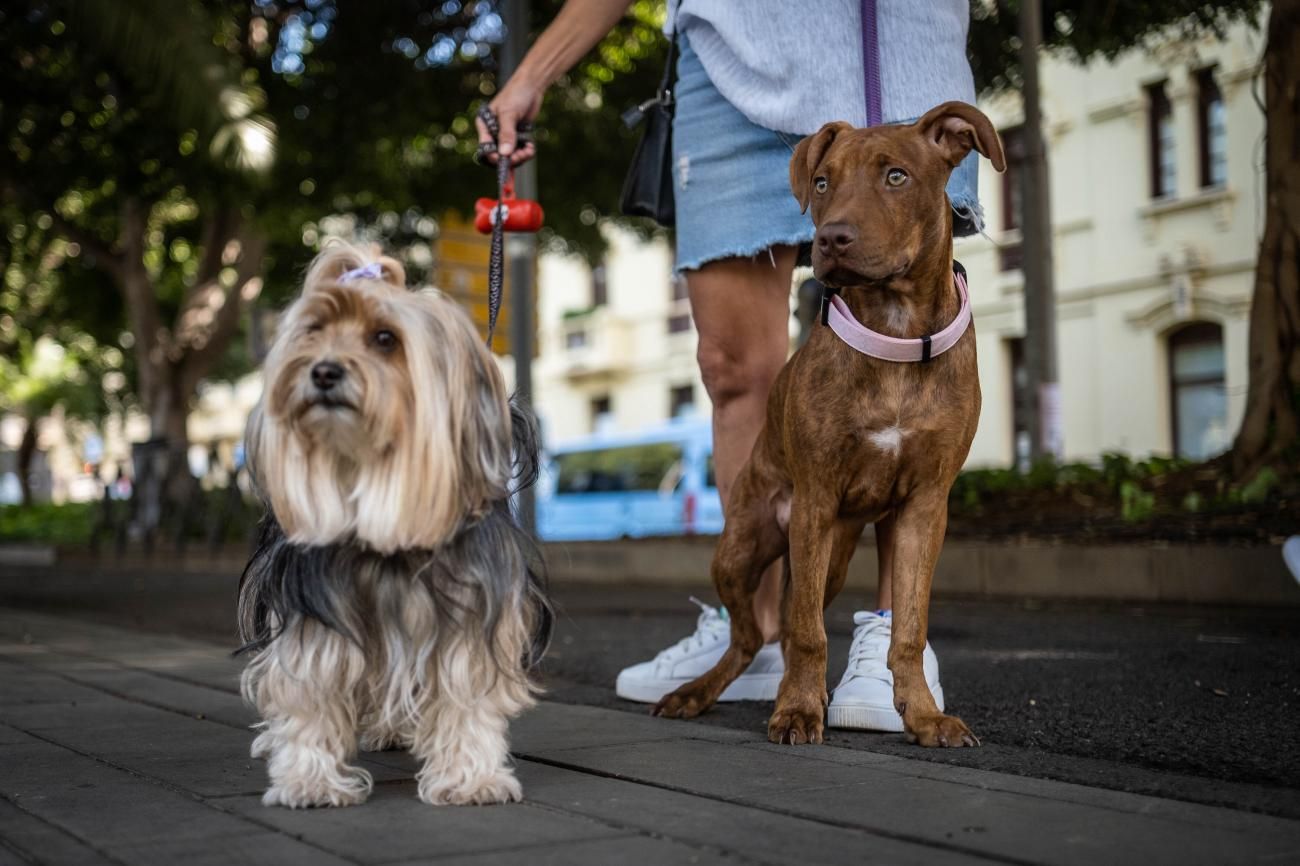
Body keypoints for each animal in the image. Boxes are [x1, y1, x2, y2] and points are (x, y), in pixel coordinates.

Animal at [239, 239, 548, 806]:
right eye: (314, 330)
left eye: (385, 339)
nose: (322, 371)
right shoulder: (314, 616)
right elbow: (310, 689)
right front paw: (309, 779)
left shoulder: (470, 617)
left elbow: (463, 693)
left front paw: (471, 777)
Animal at [650, 101, 1003, 743]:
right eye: (820, 183)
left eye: (896, 177)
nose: (830, 237)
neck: (894, 330)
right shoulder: (814, 498)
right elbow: (809, 631)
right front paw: (797, 710)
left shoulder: (925, 507)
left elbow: (908, 627)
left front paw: (922, 714)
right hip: (742, 547)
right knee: (755, 634)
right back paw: (701, 692)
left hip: (833, 554)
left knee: (782, 625)